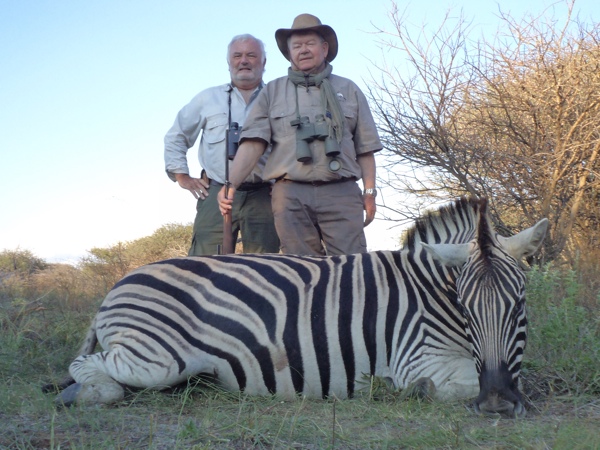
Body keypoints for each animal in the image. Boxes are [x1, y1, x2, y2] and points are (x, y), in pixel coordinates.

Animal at [45, 197, 548, 417]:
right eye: (465, 307)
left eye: (520, 303)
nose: (497, 402)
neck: (428, 289)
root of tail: (118, 284)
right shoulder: (417, 358)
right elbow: (453, 384)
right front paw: (410, 392)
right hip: (157, 357)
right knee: (90, 367)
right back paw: (85, 393)